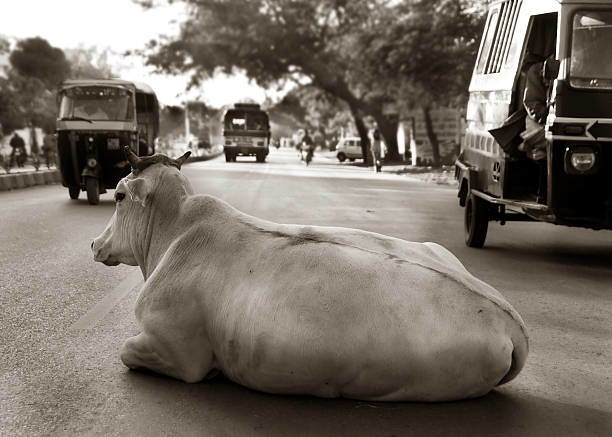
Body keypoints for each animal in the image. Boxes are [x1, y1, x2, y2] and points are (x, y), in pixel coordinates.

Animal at [91, 147, 524, 402]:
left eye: (119, 196)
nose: (95, 244)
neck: (173, 231)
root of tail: (511, 323)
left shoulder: (179, 353)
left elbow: (127, 351)